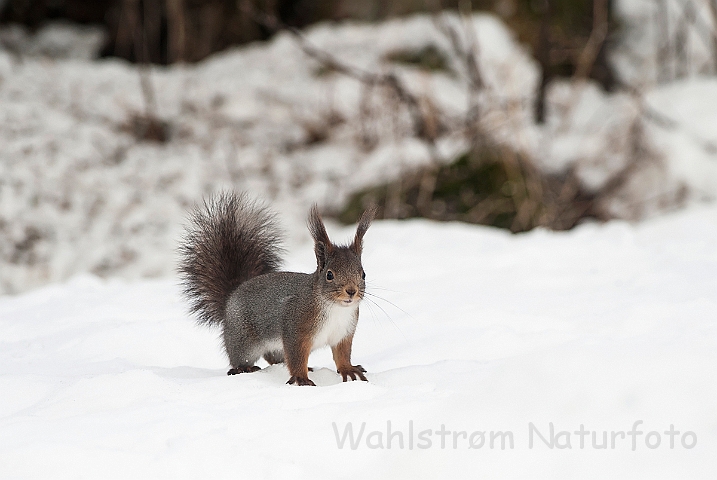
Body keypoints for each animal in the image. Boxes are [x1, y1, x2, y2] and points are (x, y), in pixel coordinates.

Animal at [178, 192, 374, 386]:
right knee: (240, 359)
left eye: (363, 274)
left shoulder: (344, 334)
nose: (351, 291)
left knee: (274, 358)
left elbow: (342, 355)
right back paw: (244, 368)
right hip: (243, 340)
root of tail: (230, 298)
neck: (335, 309)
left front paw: (349, 369)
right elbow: (296, 357)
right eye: (330, 275)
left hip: (273, 347)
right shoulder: (295, 329)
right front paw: (301, 378)